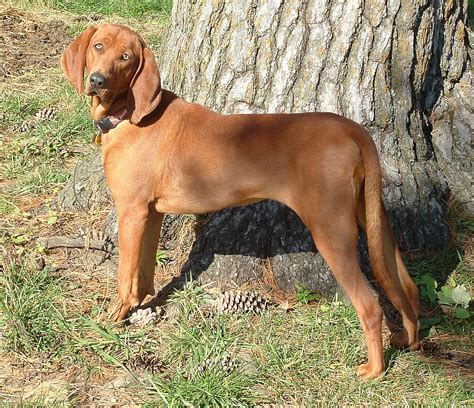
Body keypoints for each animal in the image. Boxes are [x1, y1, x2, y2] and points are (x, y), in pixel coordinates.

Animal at [60, 23, 418, 378]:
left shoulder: (131, 212)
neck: (128, 114)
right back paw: (407, 338)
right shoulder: (152, 213)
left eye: (126, 57)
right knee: (406, 286)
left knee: (370, 306)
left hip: (332, 230)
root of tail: (352, 129)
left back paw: (374, 369)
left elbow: (125, 275)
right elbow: (144, 271)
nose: (97, 81)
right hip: (372, 219)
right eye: (99, 46)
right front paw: (141, 305)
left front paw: (114, 316)